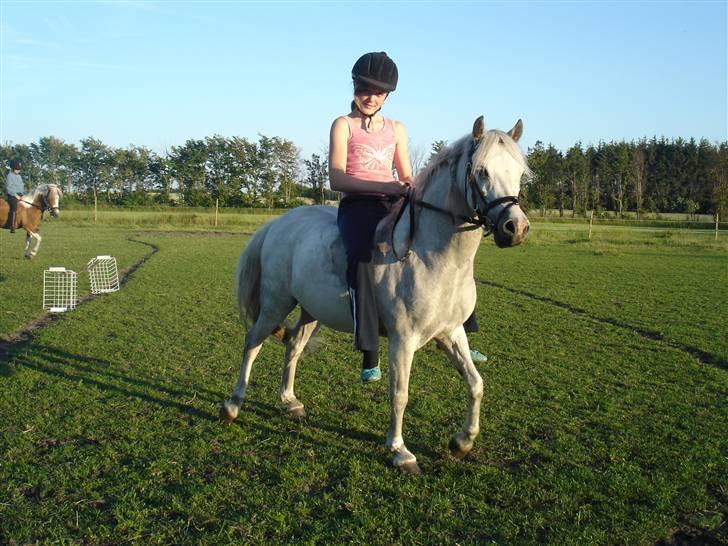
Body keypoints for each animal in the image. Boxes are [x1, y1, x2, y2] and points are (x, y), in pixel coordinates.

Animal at [220, 116, 528, 472]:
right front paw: (400, 451)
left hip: (312, 310)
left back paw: (290, 402)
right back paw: (232, 405)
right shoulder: (402, 340)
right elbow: (400, 394)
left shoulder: (451, 332)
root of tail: (278, 223)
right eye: (481, 171)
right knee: (252, 343)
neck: (431, 256)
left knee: (294, 345)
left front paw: (462, 442)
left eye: (519, 172)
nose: (515, 228)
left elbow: (476, 383)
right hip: (275, 304)